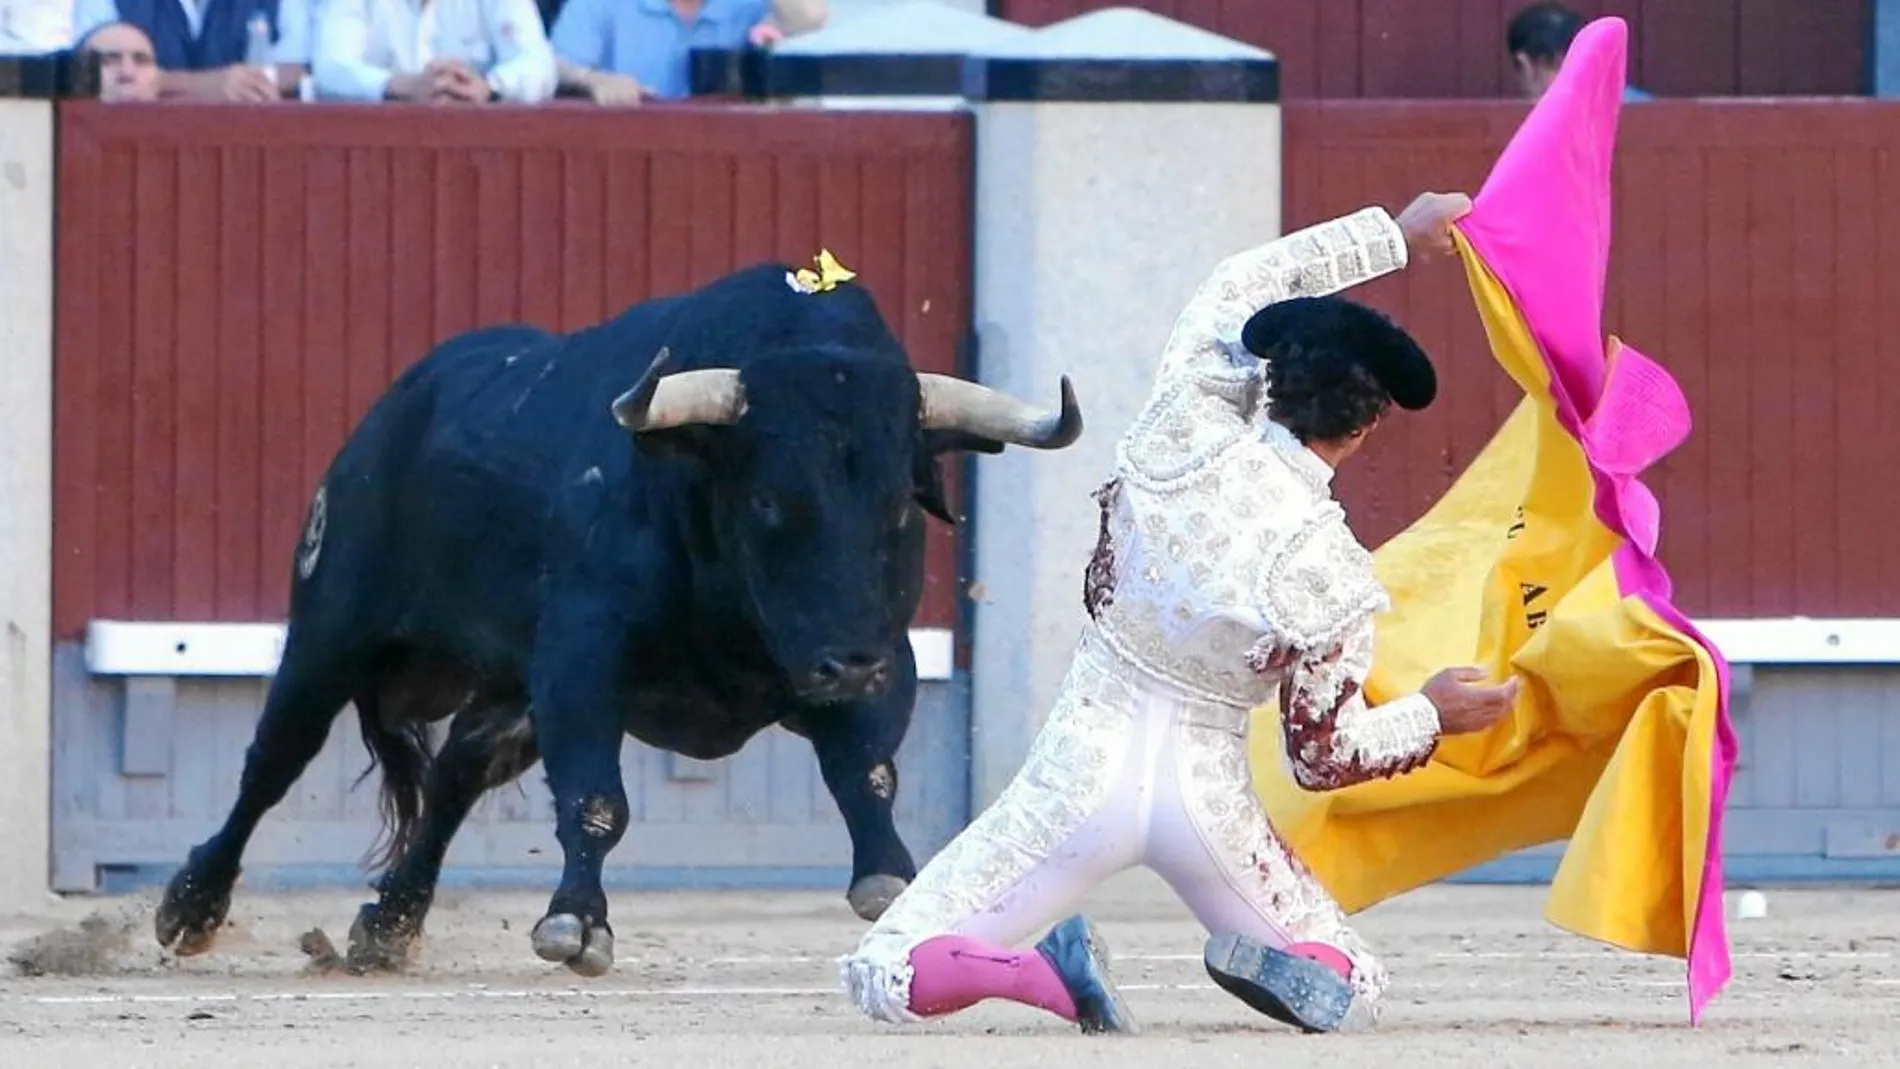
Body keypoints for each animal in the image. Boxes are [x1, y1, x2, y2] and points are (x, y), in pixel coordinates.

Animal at [150, 265, 1086, 979]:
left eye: (898, 504)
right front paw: (576, 924)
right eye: (769, 498)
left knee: (455, 774)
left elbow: (868, 774)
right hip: (332, 633)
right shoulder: (583, 660)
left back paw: (389, 924)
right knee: (272, 762)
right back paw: (191, 907)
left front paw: (893, 881)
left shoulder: (882, 653)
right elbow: (598, 798)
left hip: (510, 693)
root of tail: (392, 411)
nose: (846, 665)